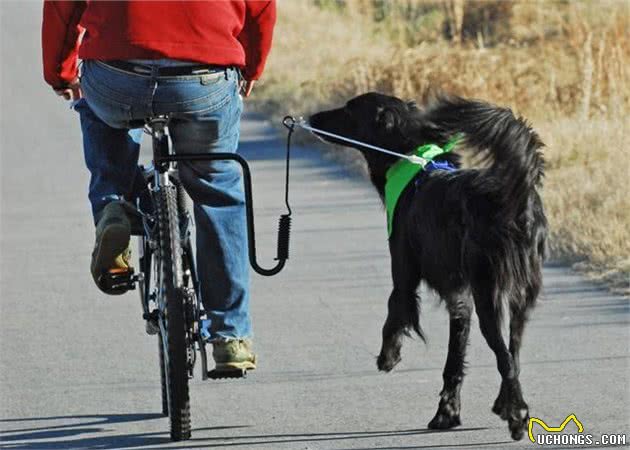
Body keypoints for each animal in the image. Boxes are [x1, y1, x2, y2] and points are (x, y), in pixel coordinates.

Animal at [312, 93, 548, 442]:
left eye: (349, 110)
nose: (312, 118)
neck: (413, 161)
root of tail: (513, 198)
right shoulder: (460, 298)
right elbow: (454, 362)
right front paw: (447, 413)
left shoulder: (404, 275)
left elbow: (394, 312)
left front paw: (388, 356)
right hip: (520, 297)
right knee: (513, 354)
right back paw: (505, 404)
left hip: (488, 294)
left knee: (505, 358)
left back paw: (517, 415)